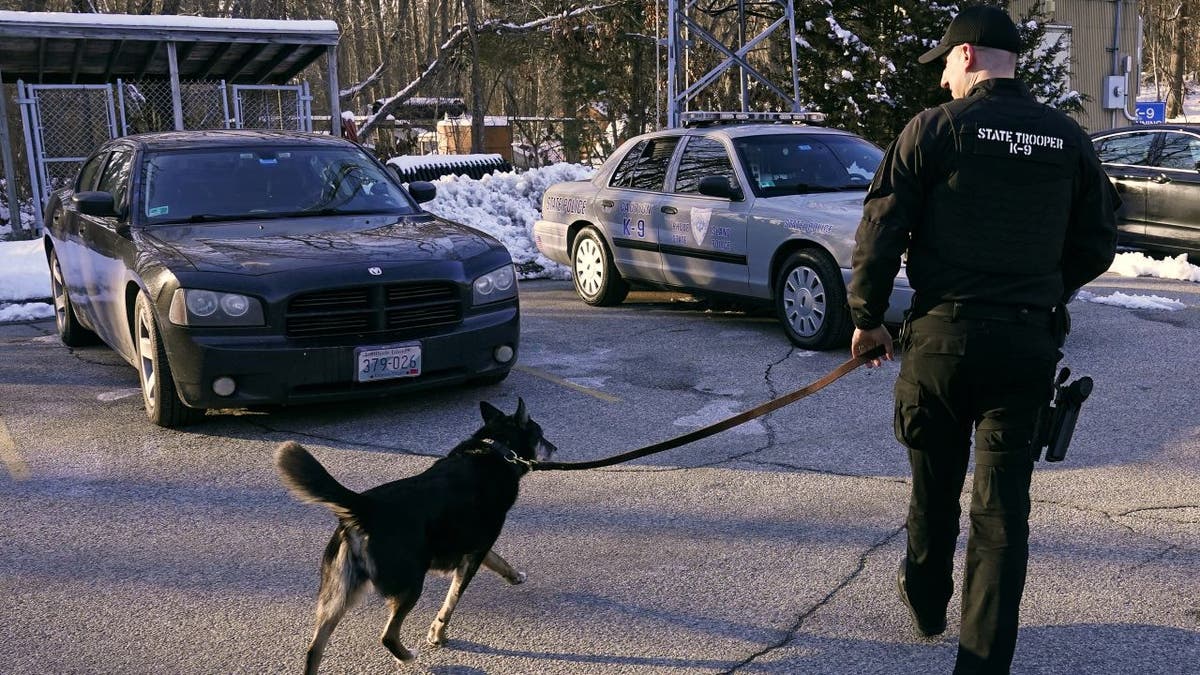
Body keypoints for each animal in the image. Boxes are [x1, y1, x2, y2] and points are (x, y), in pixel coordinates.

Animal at [278, 396, 559, 667]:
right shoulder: (474, 553)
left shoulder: (474, 546)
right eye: (541, 433)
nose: (555, 448)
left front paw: (514, 576)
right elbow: (451, 602)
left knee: (314, 649)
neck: (497, 449)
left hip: (338, 594)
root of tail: (365, 506)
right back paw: (406, 656)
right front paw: (438, 635)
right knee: (388, 635)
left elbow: (498, 560)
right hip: (410, 584)